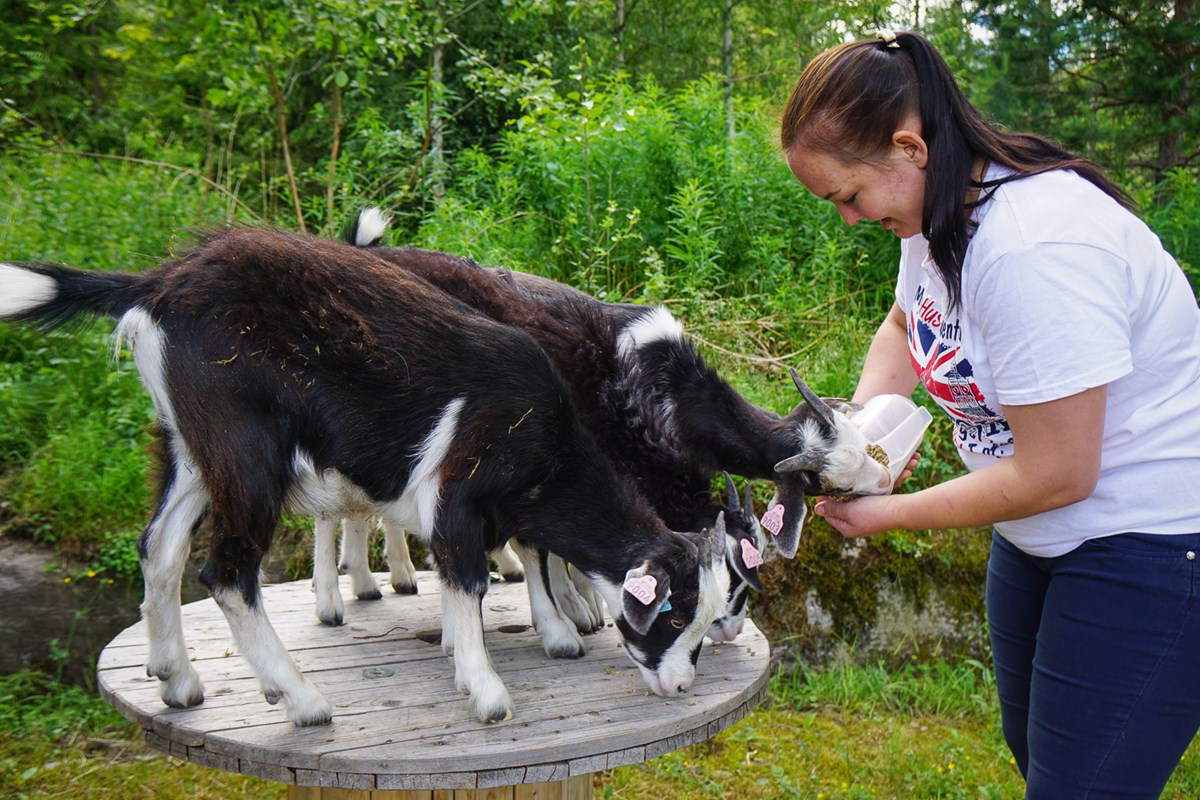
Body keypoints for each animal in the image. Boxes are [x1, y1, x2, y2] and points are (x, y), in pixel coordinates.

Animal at [0, 230, 724, 724]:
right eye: (670, 613)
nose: (680, 686)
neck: (549, 441)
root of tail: (158, 284)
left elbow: (493, 565)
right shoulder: (456, 493)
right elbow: (469, 579)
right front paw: (487, 690)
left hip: (193, 447)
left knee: (160, 546)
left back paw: (178, 680)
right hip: (247, 453)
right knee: (227, 573)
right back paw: (301, 699)